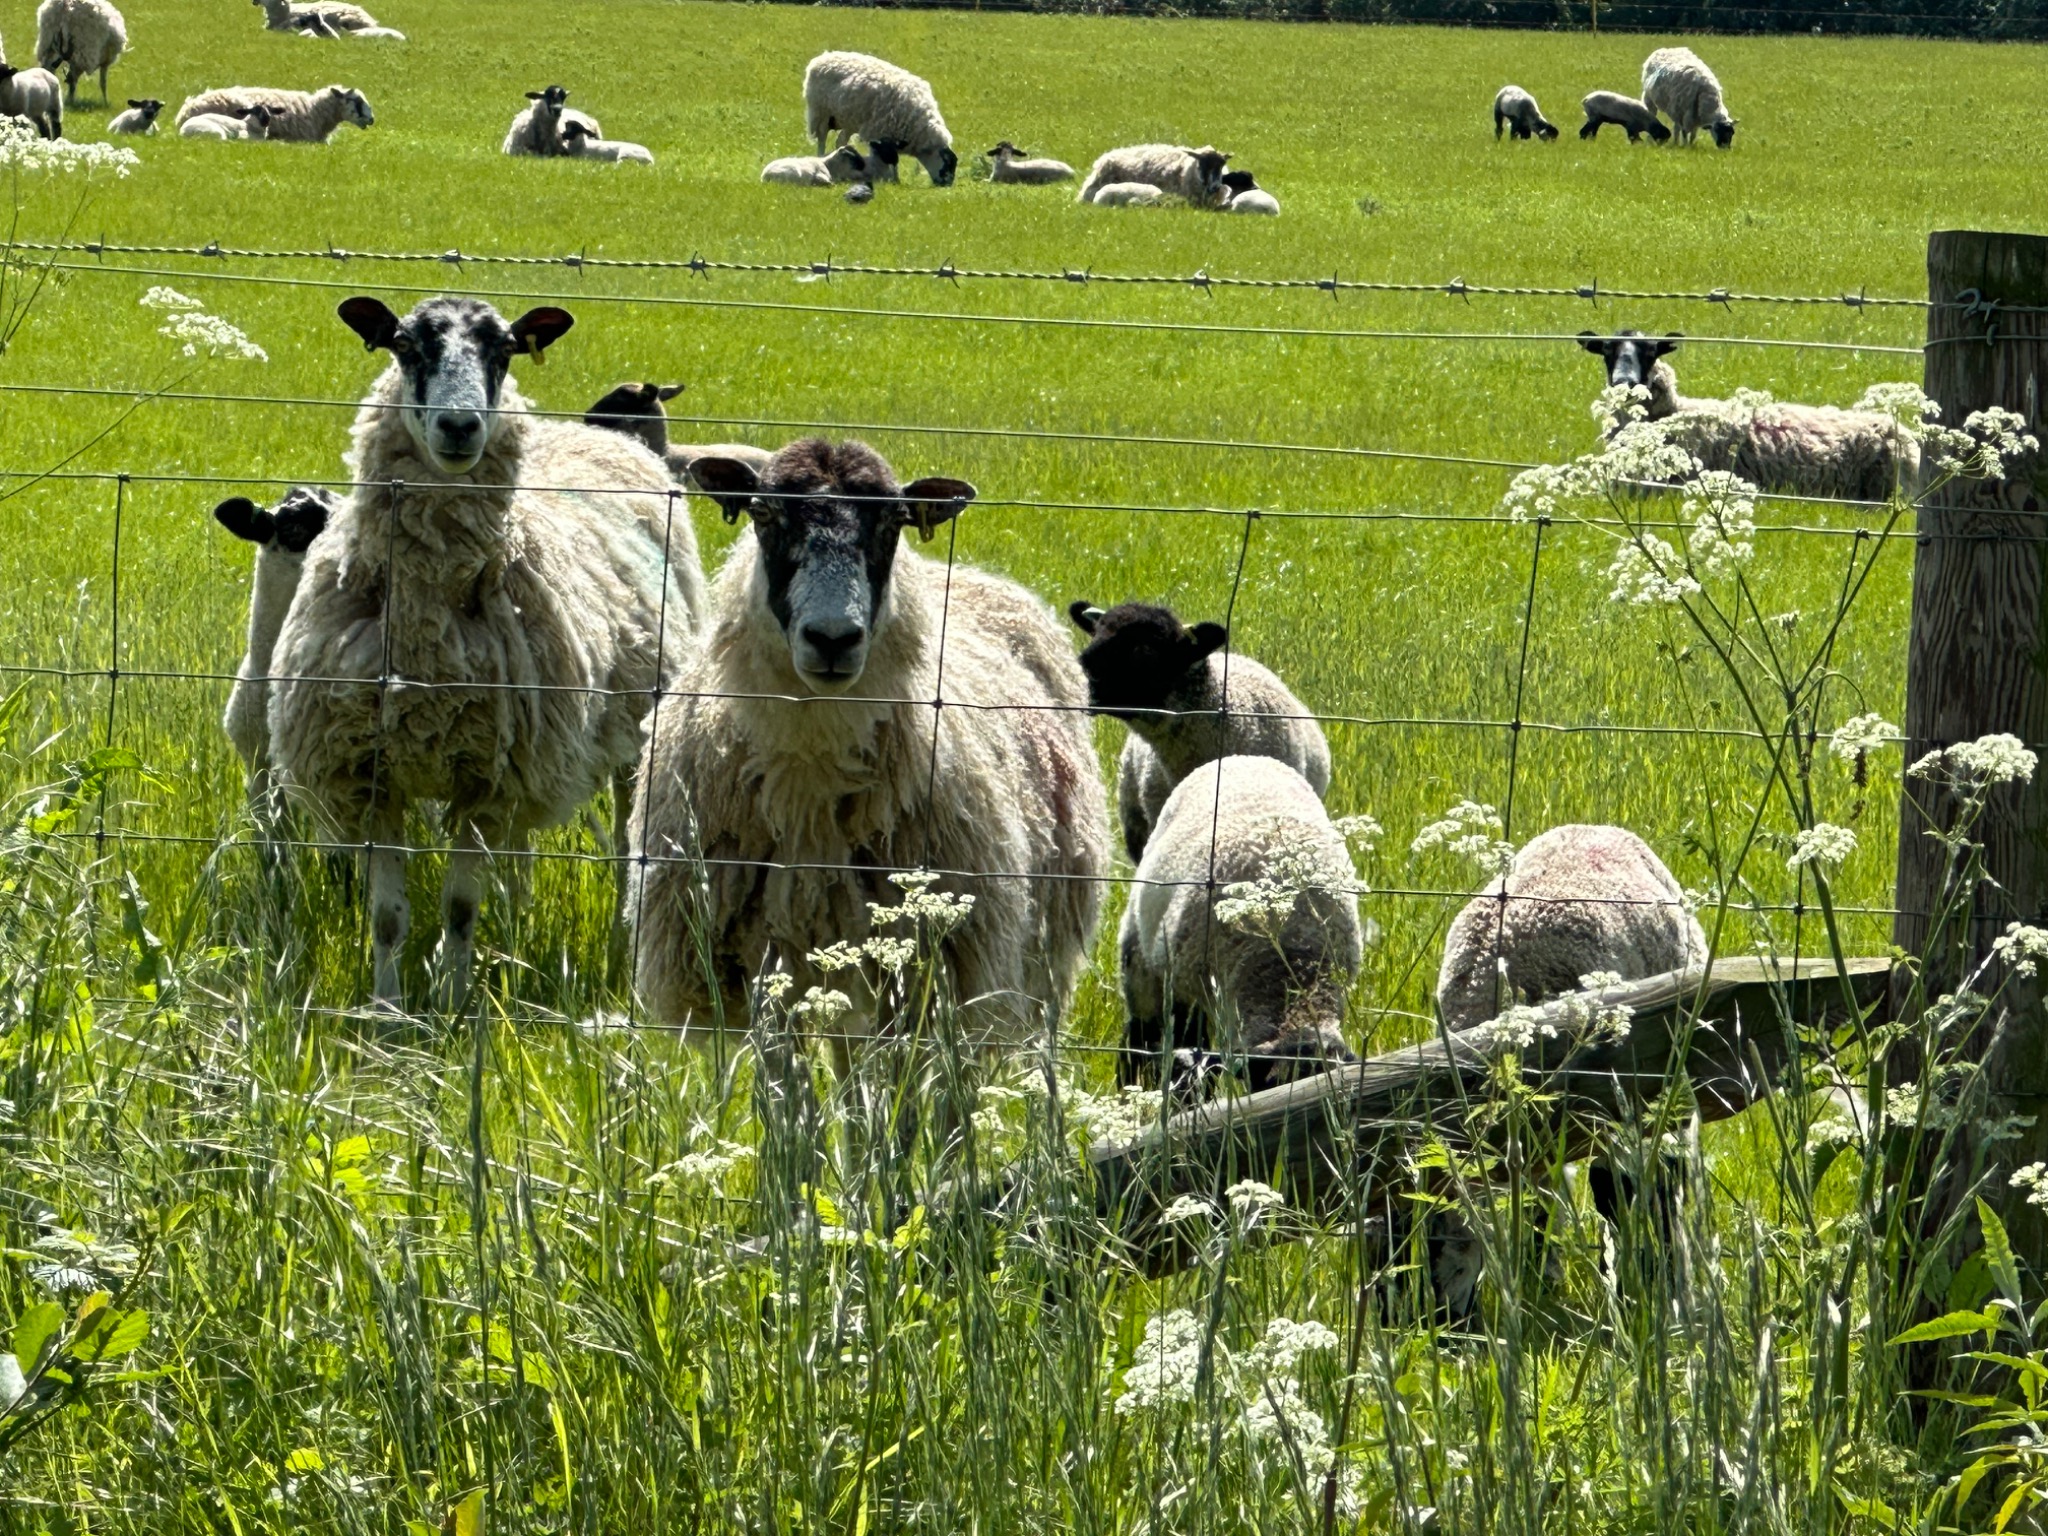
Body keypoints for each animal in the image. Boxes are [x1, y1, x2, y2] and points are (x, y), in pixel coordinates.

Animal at [267, 296, 703, 1010]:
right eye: (405, 344)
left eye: (504, 349)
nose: (459, 425)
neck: (427, 640)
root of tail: (607, 438)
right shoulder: (374, 775)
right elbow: (387, 918)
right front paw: (388, 1012)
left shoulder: (485, 781)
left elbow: (459, 907)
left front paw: (450, 1006)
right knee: (519, 858)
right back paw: (517, 922)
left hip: (637, 727)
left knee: (623, 845)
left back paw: (619, 942)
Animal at [627, 438, 1109, 1057]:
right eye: (763, 514)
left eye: (892, 523)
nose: (833, 639)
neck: (809, 775)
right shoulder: (754, 959)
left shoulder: (915, 969)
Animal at [801, 51, 956, 186]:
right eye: (948, 164)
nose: (947, 185)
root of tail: (823, 57)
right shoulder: (877, 133)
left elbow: (894, 158)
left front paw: (895, 180)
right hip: (821, 112)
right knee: (822, 138)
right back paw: (821, 156)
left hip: (849, 120)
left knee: (841, 140)